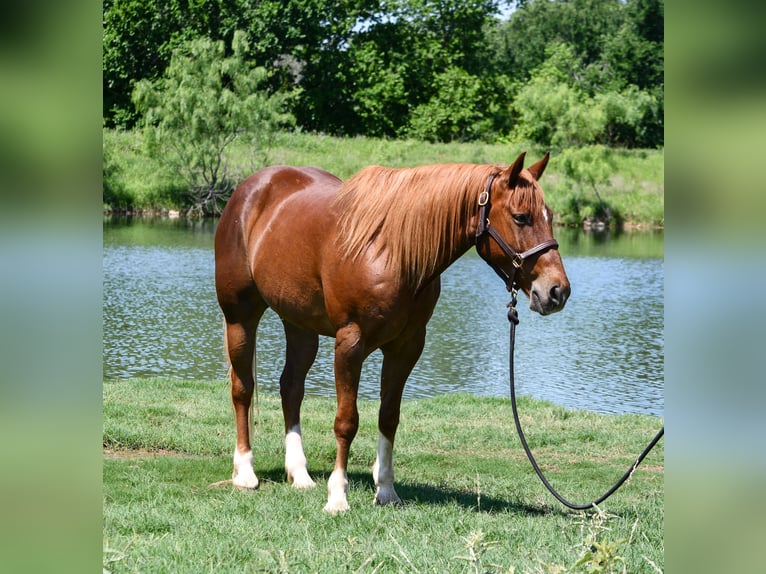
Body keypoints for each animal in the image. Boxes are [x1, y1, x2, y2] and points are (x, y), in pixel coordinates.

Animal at [214, 152, 570, 513]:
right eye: (521, 217)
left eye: (549, 216)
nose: (557, 291)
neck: (392, 251)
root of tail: (249, 190)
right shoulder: (350, 344)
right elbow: (346, 421)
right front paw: (338, 496)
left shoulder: (406, 346)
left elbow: (388, 417)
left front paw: (385, 490)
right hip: (240, 317)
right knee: (242, 389)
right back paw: (245, 473)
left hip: (300, 326)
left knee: (291, 388)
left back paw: (299, 474)